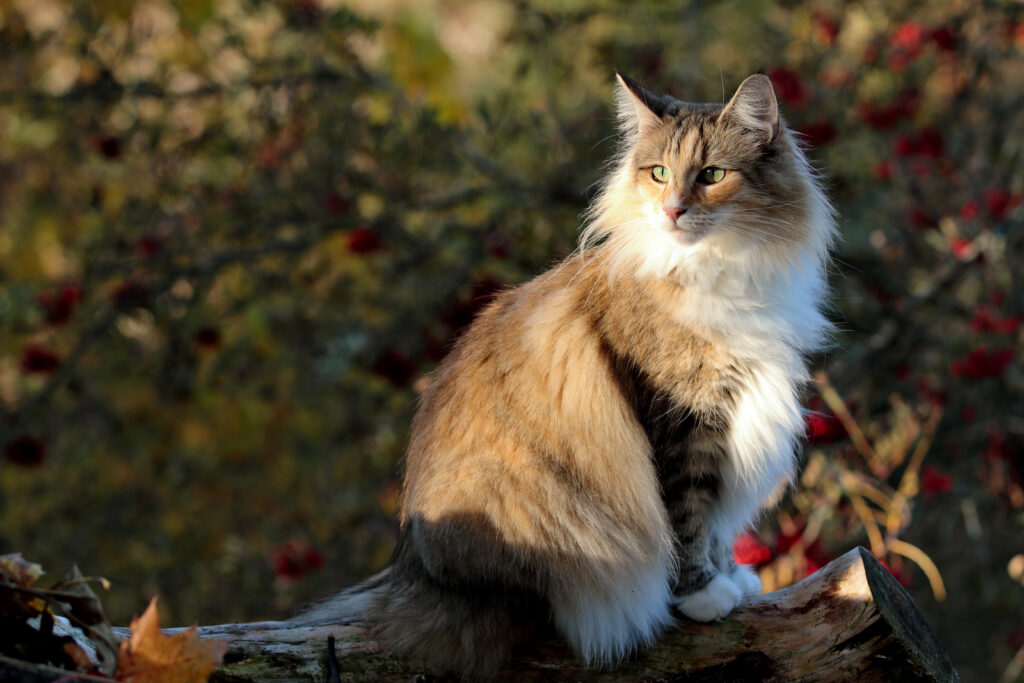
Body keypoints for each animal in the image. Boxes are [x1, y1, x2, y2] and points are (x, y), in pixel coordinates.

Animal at [305, 73, 839, 671]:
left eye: (712, 175)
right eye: (658, 173)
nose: (672, 211)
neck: (720, 268)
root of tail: (411, 577)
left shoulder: (733, 422)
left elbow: (716, 525)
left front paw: (732, 577)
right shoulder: (682, 426)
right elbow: (687, 521)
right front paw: (704, 594)